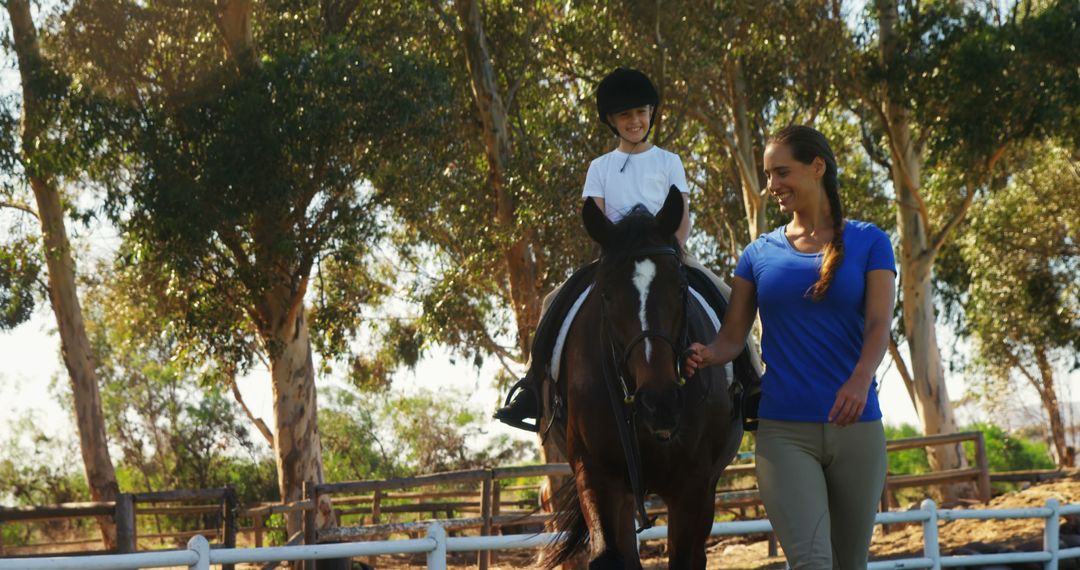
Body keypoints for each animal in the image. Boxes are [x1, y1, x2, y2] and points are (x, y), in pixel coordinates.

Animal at [540, 186, 760, 570]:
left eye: (681, 287)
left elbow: (684, 558)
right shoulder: (595, 476)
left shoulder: (693, 485)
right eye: (606, 294)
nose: (660, 404)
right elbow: (608, 557)